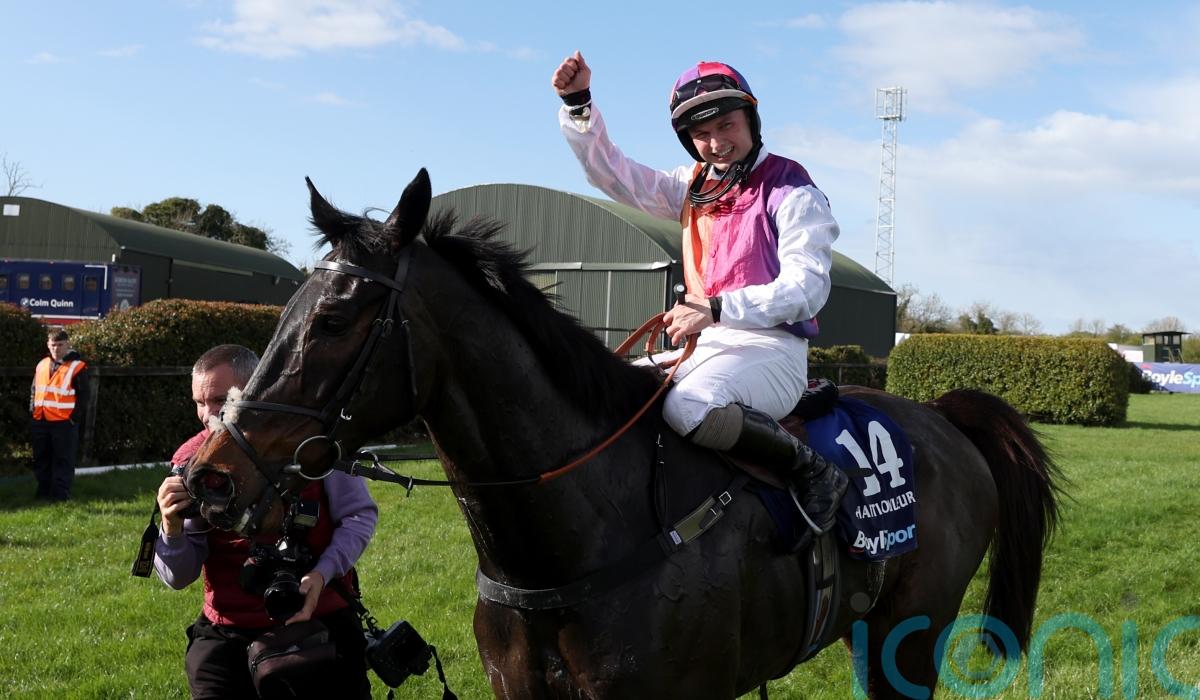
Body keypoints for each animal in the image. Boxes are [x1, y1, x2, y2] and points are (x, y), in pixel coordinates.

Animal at [183, 169, 1061, 699]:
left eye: (333, 320)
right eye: (287, 308)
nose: (210, 477)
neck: (579, 533)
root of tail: (941, 415)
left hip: (915, 630)